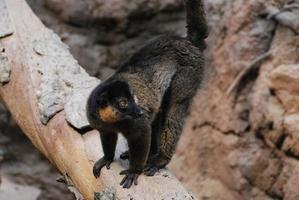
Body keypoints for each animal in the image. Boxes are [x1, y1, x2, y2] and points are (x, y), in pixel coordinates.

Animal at [86, 0, 209, 188]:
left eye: (134, 98)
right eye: (123, 103)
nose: (139, 111)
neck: (114, 121)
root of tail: (186, 42)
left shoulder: (136, 124)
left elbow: (142, 134)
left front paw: (134, 171)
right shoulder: (96, 119)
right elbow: (107, 135)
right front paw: (107, 158)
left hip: (190, 71)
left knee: (174, 107)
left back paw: (160, 159)